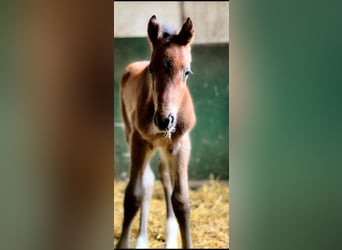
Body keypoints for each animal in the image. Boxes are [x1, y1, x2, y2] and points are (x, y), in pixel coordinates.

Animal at [115, 15, 195, 248]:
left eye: (187, 72)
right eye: (151, 70)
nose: (164, 120)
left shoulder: (181, 144)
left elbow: (181, 200)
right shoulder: (139, 142)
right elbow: (133, 195)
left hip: (165, 149)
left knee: (165, 176)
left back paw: (170, 237)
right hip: (135, 137)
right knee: (148, 182)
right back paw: (141, 239)